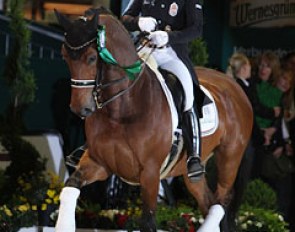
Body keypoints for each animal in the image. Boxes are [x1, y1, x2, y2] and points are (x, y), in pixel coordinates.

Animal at [55, 7, 254, 232]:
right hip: (191, 171)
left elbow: (148, 222)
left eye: (91, 58)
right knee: (208, 201)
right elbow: (70, 188)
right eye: (64, 57)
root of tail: (235, 86)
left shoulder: (150, 174)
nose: (80, 108)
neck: (122, 109)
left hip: (230, 158)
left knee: (221, 201)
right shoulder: (99, 162)